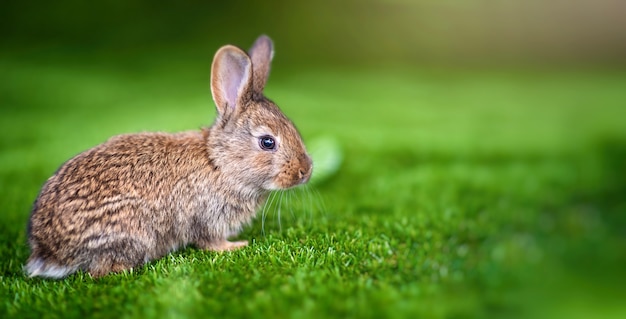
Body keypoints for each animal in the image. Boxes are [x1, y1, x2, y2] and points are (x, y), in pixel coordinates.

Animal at [24, 35, 312, 280]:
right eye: (267, 142)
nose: (306, 171)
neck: (219, 163)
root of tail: (49, 252)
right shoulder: (207, 218)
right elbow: (210, 242)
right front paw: (235, 245)